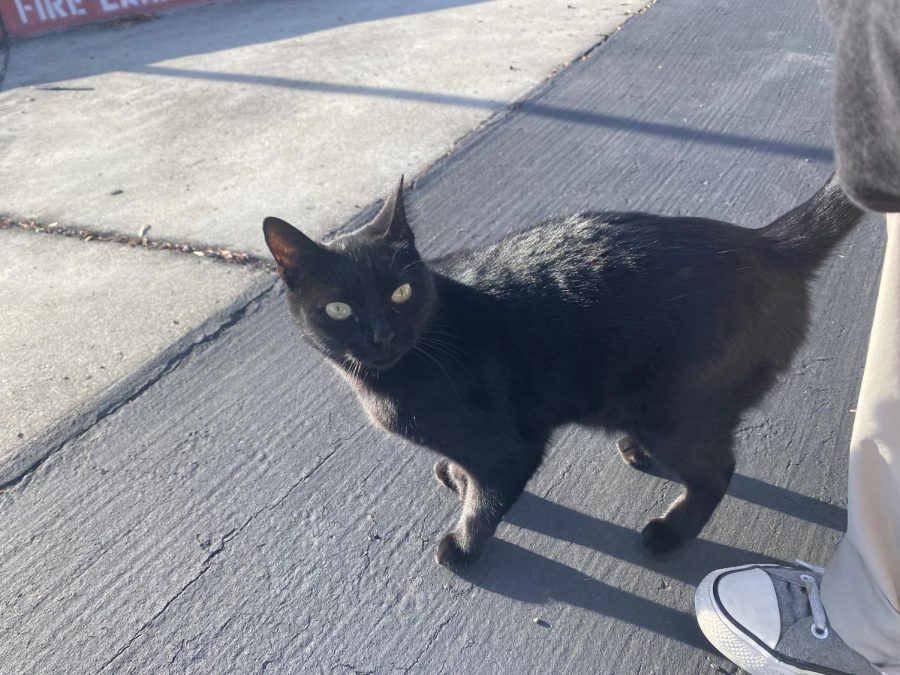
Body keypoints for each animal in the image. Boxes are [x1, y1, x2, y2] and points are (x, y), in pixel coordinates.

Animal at [262, 176, 864, 572]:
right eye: (339, 309)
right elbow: (468, 475)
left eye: (401, 293)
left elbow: (487, 500)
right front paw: (456, 476)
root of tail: (768, 242)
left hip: (677, 411)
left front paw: (463, 545)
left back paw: (669, 535)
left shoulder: (513, 448)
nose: (381, 337)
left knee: (718, 471)